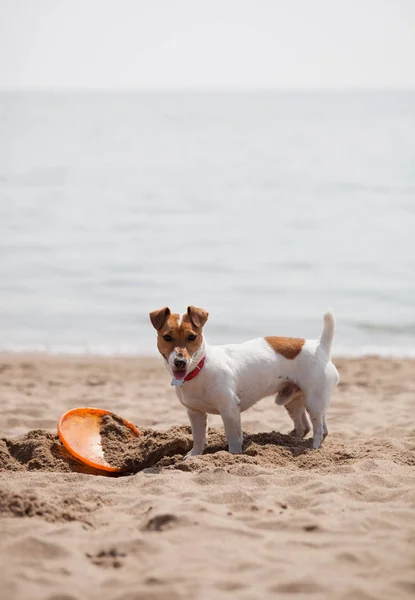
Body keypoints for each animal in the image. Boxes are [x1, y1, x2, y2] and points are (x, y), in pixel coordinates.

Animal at [150, 304, 338, 454]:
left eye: (192, 337)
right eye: (167, 337)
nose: (180, 362)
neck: (200, 368)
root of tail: (320, 347)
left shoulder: (230, 410)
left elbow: (233, 438)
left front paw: (233, 455)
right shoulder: (195, 413)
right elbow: (199, 438)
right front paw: (194, 456)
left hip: (313, 401)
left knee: (318, 428)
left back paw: (313, 447)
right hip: (293, 401)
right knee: (310, 426)